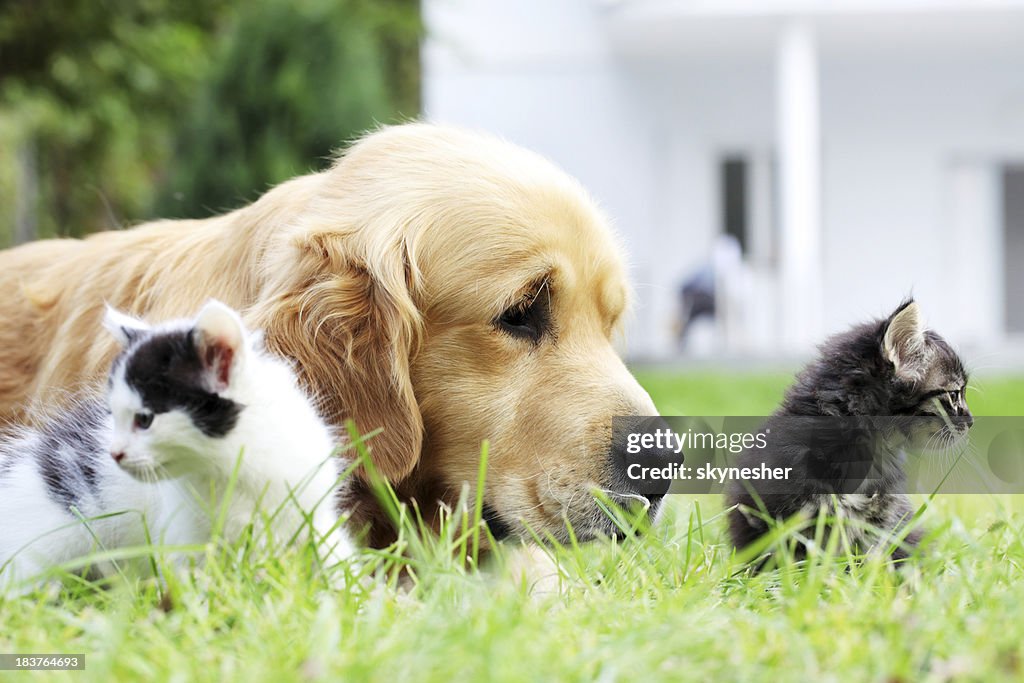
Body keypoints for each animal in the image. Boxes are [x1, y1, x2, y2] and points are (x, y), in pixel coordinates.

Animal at [0, 299, 354, 593]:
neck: (233, 462)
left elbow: (334, 555)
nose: (114, 454)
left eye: (144, 419)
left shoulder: (312, 510)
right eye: (113, 414)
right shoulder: (185, 536)